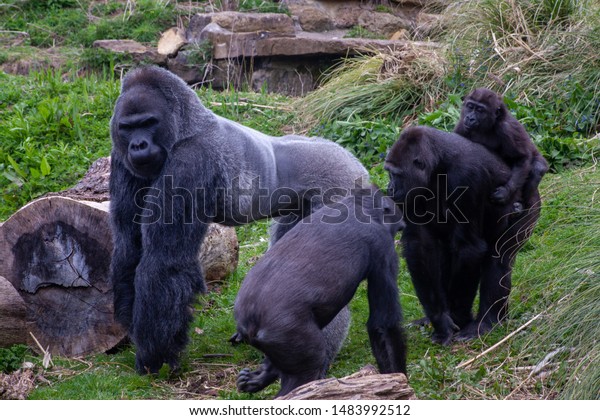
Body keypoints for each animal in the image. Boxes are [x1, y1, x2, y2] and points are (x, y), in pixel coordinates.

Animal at [232, 187, 406, 398]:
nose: (401, 230)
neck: (358, 205)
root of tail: (249, 322)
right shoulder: (383, 246)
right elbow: (383, 323)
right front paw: (397, 379)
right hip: (287, 335)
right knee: (305, 372)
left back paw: (259, 377)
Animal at [386, 125, 540, 344]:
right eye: (389, 173)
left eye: (396, 175)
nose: (389, 188)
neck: (438, 165)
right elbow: (420, 246)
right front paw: (440, 319)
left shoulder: (467, 177)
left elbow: (469, 248)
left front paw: (458, 316)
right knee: (445, 257)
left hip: (530, 206)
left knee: (499, 259)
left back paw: (487, 321)